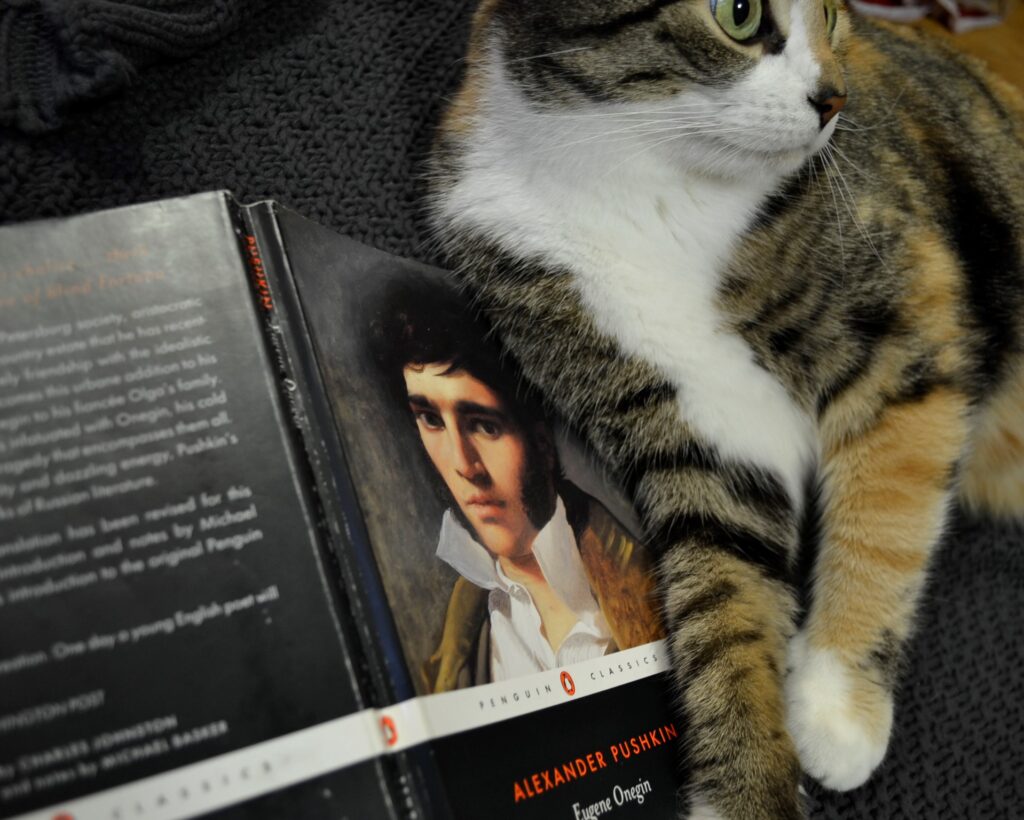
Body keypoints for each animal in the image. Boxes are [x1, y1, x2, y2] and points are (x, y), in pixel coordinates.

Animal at [425, 3, 1024, 814]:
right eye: (737, 14)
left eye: (834, 13)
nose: (833, 99)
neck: (649, 180)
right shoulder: (698, 434)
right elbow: (724, 603)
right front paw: (746, 784)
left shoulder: (906, 325)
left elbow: (886, 513)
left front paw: (838, 703)